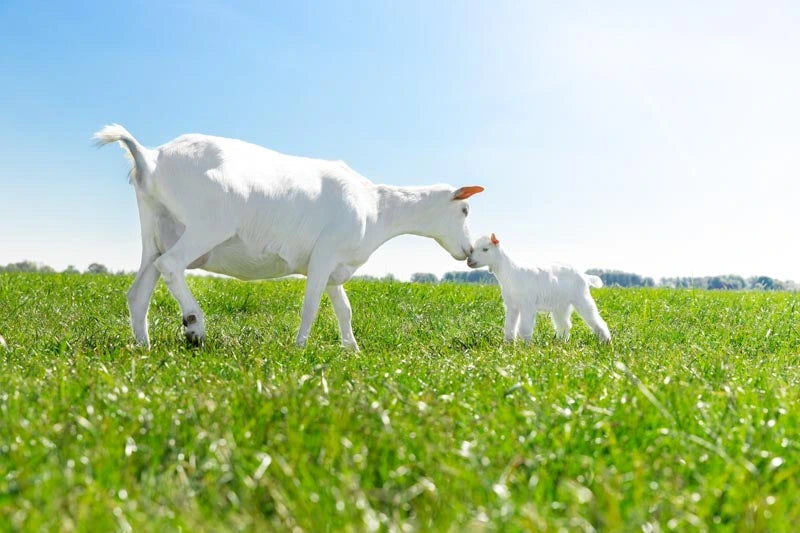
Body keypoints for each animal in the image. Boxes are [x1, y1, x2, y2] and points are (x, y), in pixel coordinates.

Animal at [94, 125, 484, 350]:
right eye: (465, 210)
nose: (467, 252)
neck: (376, 207)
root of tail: (150, 157)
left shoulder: (335, 266)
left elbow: (344, 309)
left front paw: (352, 349)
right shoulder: (323, 256)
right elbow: (311, 306)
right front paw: (299, 348)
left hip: (156, 229)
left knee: (139, 291)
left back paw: (143, 347)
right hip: (209, 225)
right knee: (171, 264)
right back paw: (195, 327)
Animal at [467, 234, 611, 343]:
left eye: (485, 249)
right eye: (473, 249)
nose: (469, 261)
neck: (511, 272)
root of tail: (583, 275)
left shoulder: (527, 305)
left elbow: (524, 329)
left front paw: (526, 347)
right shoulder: (512, 306)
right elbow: (509, 327)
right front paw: (508, 345)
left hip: (582, 298)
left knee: (595, 319)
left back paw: (606, 341)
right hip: (561, 305)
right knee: (564, 324)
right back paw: (562, 342)